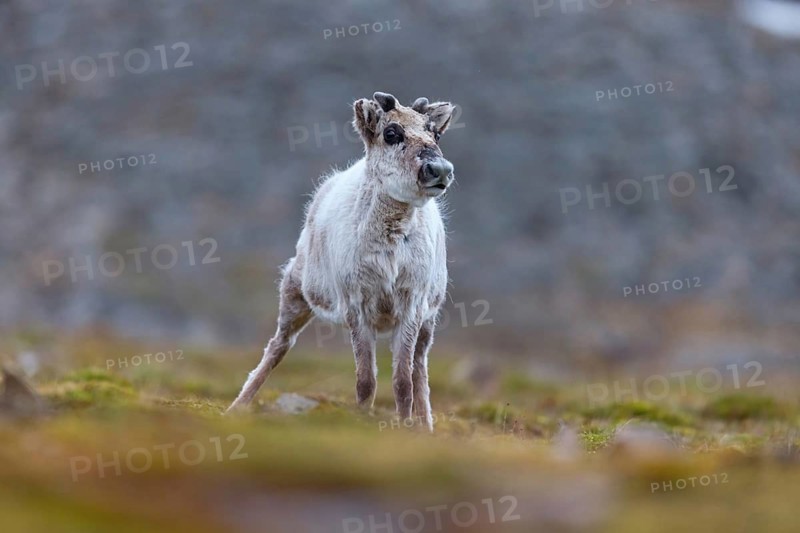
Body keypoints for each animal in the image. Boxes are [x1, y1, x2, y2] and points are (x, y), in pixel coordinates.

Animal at [227, 92, 457, 431]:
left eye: (436, 134)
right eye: (391, 133)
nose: (439, 169)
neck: (391, 239)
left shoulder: (412, 304)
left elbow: (403, 382)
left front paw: (408, 430)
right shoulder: (356, 305)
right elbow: (365, 382)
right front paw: (361, 425)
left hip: (430, 318)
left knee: (419, 369)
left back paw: (426, 426)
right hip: (295, 291)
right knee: (278, 345)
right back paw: (236, 407)